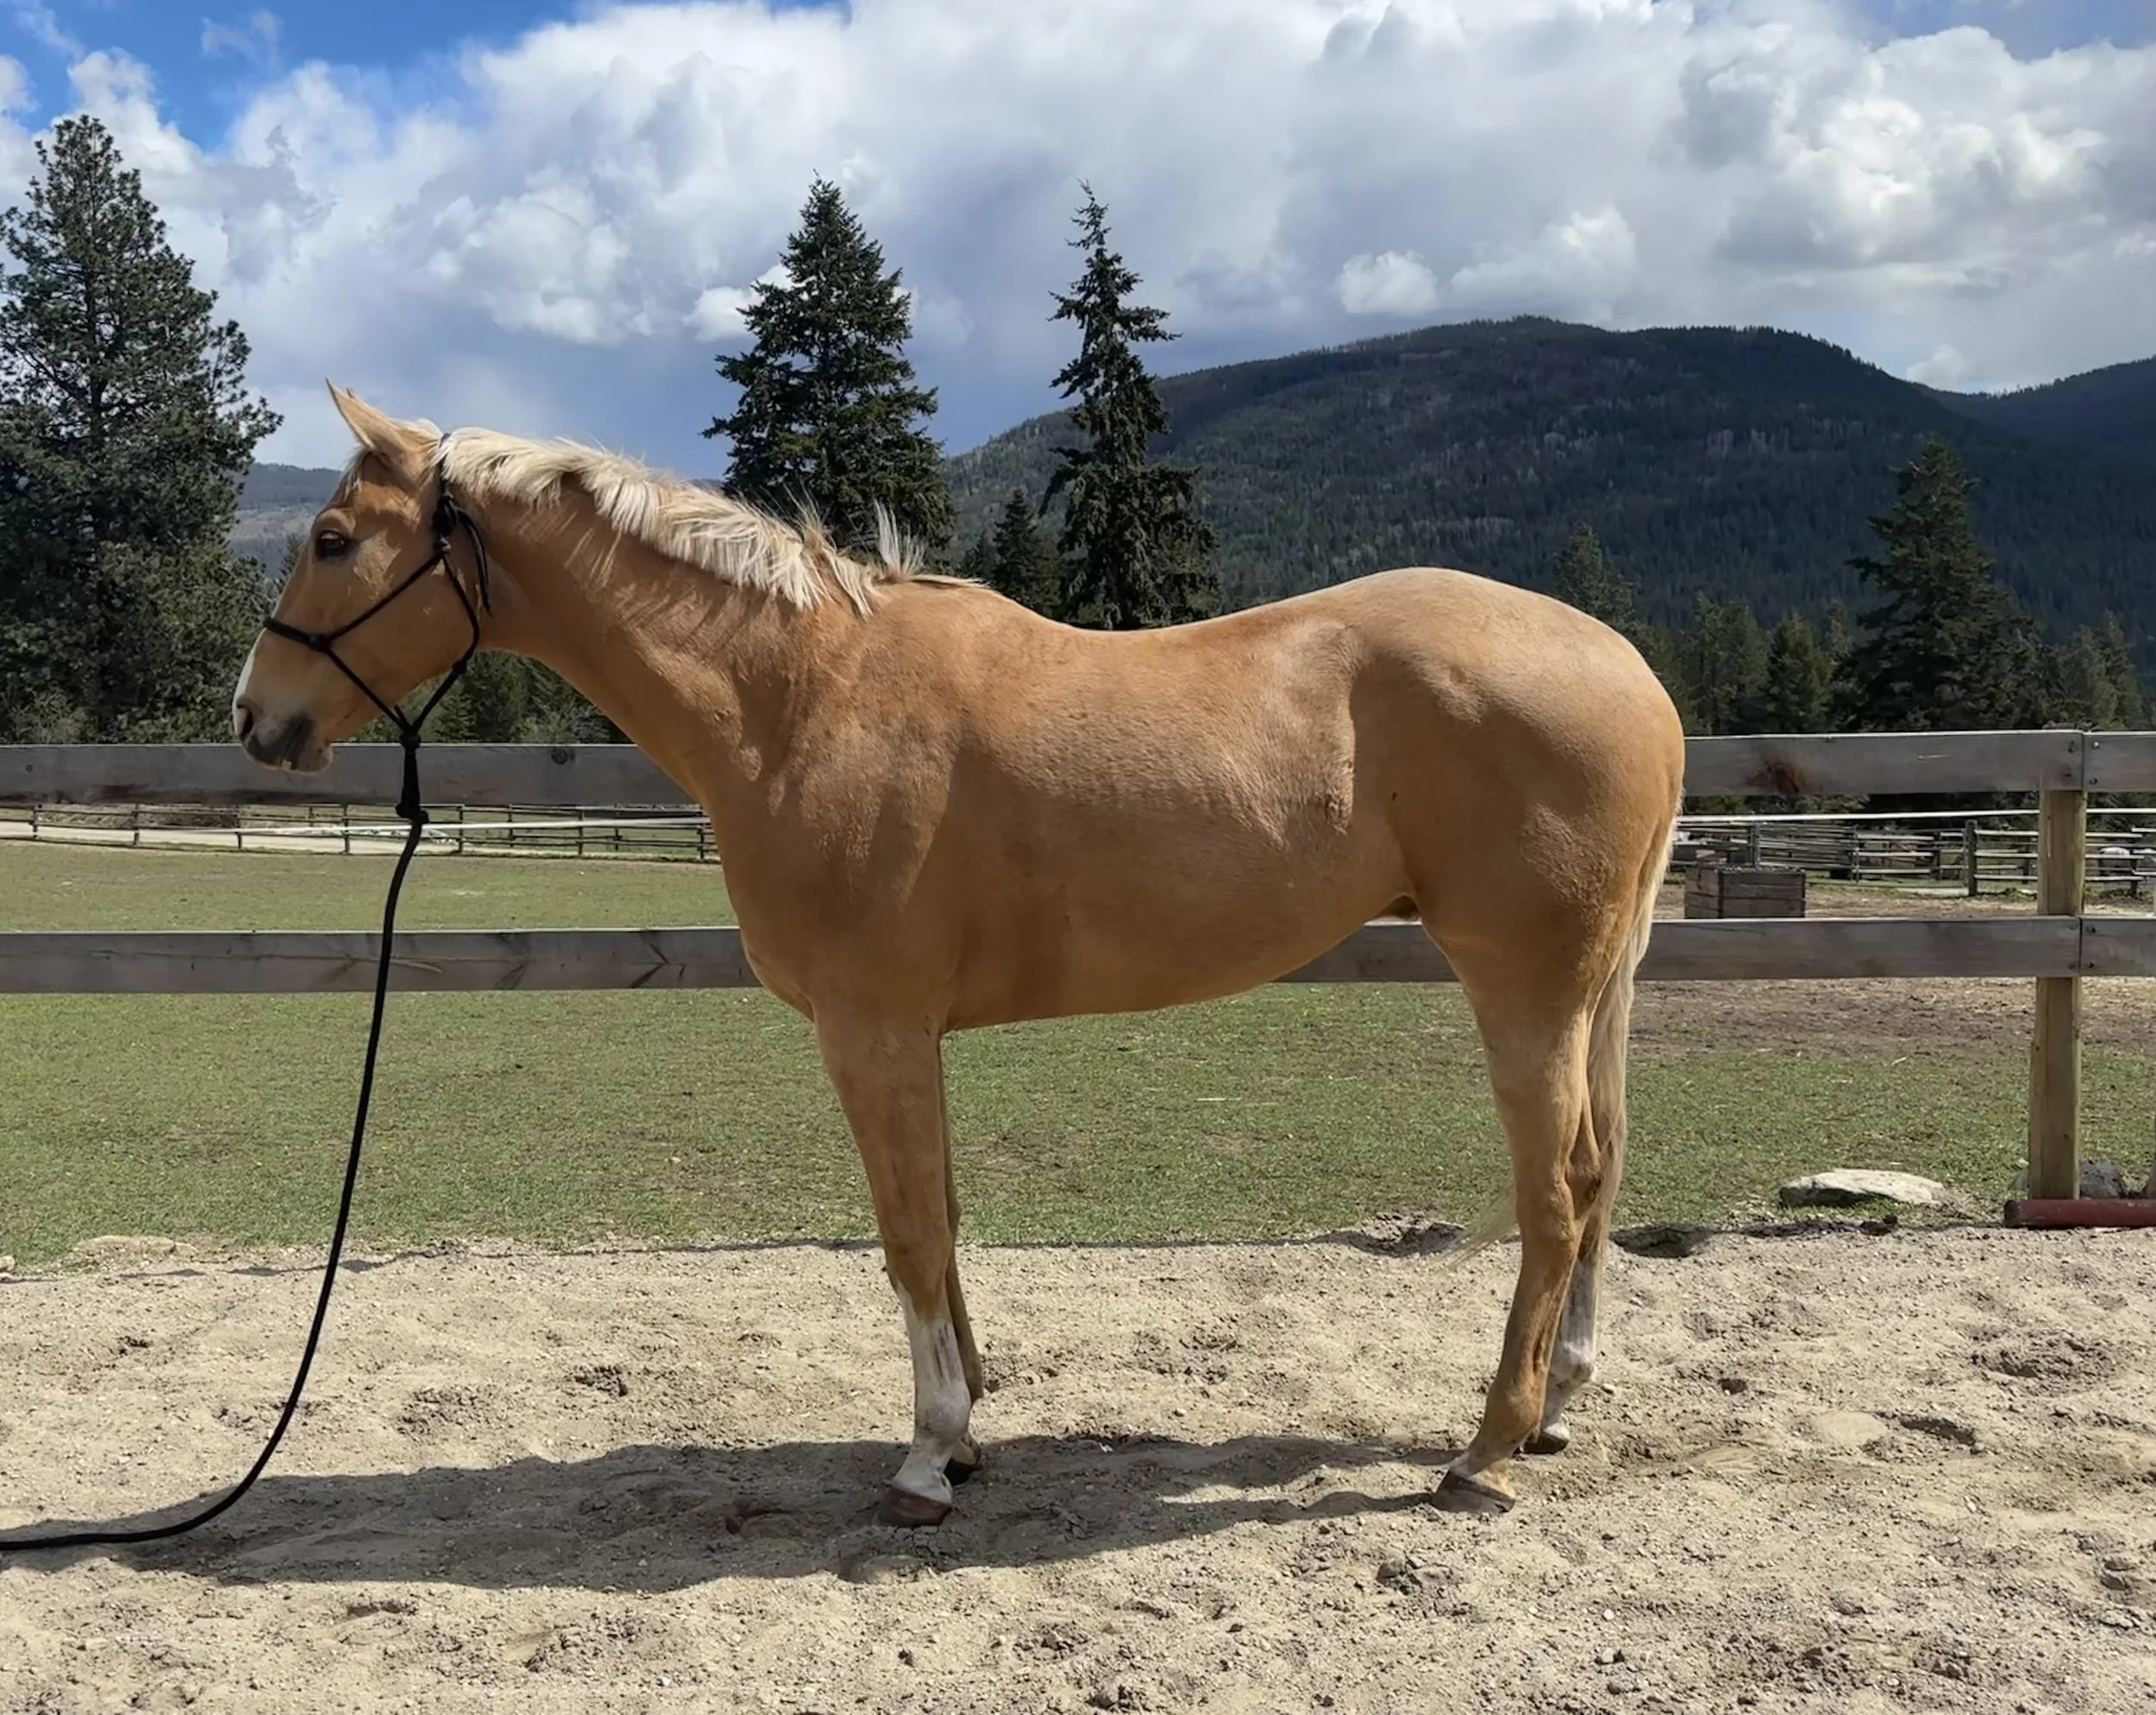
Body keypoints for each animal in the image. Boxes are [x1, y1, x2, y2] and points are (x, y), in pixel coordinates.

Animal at [232, 384, 1687, 1526]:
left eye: (333, 537)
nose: (258, 716)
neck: (800, 698)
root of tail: (1632, 671)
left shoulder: (869, 1028)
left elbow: (910, 1234)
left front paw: (929, 1456)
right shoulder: (909, 1037)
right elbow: (942, 1219)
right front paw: (972, 1426)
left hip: (1523, 990)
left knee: (1554, 1199)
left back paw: (1485, 1450)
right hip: (1593, 990)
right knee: (1600, 1173)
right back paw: (1556, 1404)